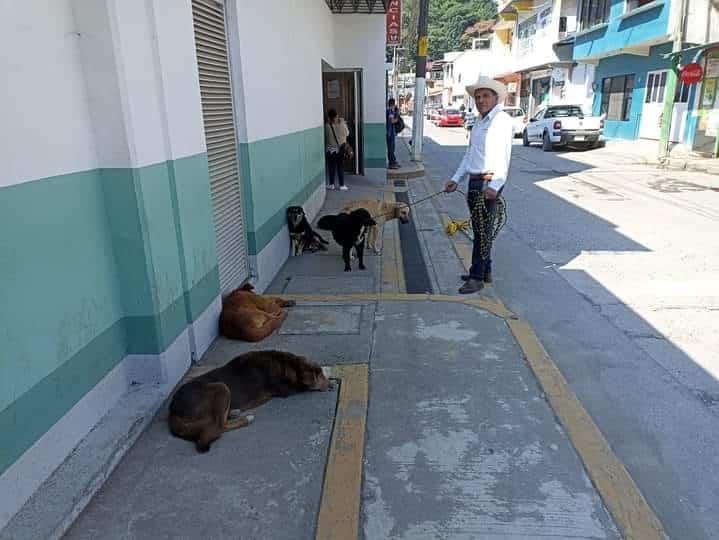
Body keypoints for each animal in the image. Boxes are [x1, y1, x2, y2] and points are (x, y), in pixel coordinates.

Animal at [170, 350, 330, 452]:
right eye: (319, 376)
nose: (331, 385)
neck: (288, 365)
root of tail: (172, 411)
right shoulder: (287, 389)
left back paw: (233, 412)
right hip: (221, 387)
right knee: (218, 426)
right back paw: (246, 418)